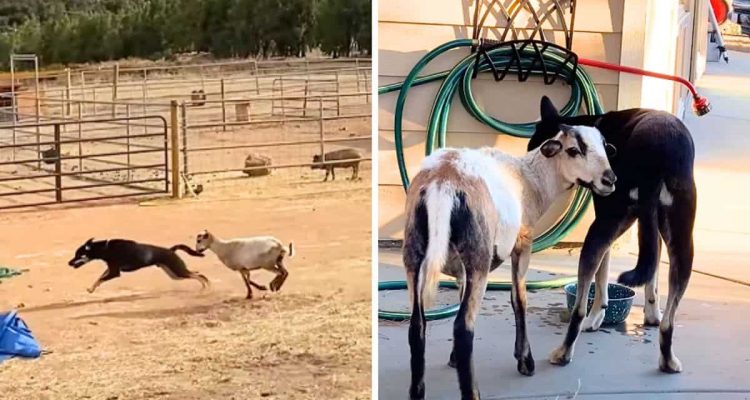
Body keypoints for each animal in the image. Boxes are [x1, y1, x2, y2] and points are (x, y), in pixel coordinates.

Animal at [68, 238, 212, 294]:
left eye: (78, 254)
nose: (69, 263)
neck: (106, 248)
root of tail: (171, 250)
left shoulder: (115, 272)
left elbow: (101, 279)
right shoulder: (110, 269)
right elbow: (98, 279)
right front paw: (91, 288)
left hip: (178, 271)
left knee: (200, 275)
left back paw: (207, 287)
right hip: (174, 274)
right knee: (197, 274)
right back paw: (205, 286)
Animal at [406, 125, 616, 400]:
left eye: (604, 146)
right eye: (573, 150)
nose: (610, 180)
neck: (531, 179)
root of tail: (443, 183)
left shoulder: (460, 268)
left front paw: (452, 360)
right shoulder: (523, 243)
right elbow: (519, 299)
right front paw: (525, 360)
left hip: (415, 251)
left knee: (417, 325)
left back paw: (417, 392)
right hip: (479, 256)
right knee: (463, 328)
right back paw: (473, 393)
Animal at [528, 95, 700, 374]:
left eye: (539, 140)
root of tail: (658, 151)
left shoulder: (606, 219)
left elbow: (602, 276)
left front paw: (596, 315)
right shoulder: (650, 226)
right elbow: (652, 270)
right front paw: (652, 312)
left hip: (603, 227)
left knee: (578, 308)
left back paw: (564, 352)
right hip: (683, 241)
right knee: (669, 321)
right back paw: (668, 360)